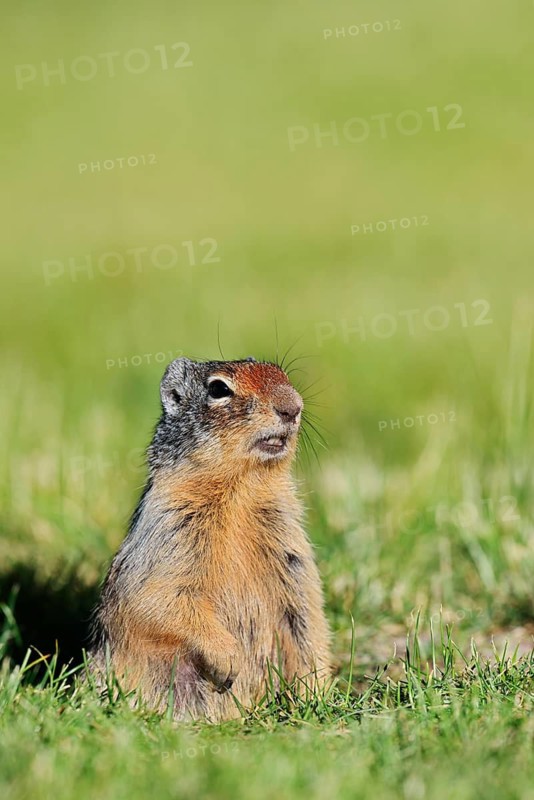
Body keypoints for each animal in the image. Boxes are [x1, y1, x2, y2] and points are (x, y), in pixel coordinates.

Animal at [90, 356, 332, 722]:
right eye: (218, 389)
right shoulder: (170, 530)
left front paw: (317, 698)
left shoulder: (292, 553)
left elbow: (307, 622)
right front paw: (229, 660)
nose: (292, 406)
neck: (242, 488)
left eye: (283, 374)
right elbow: (157, 595)